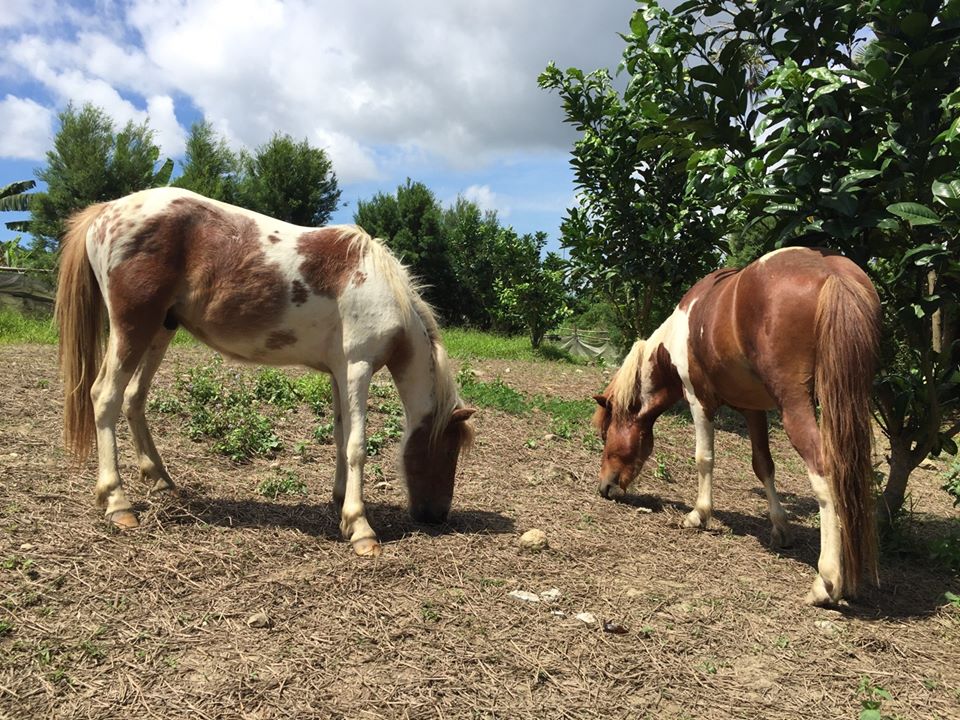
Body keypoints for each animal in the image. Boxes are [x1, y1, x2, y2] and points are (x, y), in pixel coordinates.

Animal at [54, 187, 474, 556]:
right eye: (447, 450)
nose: (436, 516)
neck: (380, 286)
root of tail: (106, 211)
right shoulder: (358, 367)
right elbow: (357, 446)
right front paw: (360, 528)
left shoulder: (338, 372)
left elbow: (340, 437)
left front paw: (340, 501)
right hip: (133, 328)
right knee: (105, 397)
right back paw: (118, 503)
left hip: (160, 330)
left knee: (133, 399)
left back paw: (161, 481)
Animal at [596, 248, 880, 600]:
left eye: (605, 434)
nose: (605, 487)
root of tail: (828, 270)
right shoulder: (754, 410)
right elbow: (763, 466)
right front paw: (780, 528)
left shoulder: (698, 401)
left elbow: (704, 459)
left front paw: (698, 515)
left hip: (797, 406)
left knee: (824, 472)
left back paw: (827, 581)